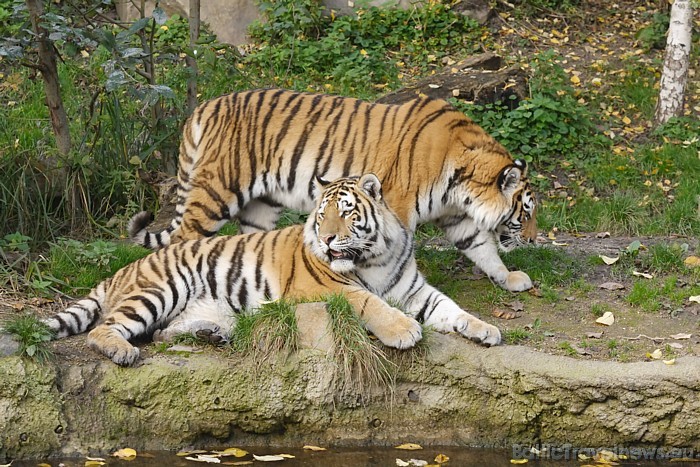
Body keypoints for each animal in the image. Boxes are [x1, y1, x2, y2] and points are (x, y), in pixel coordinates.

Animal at [45, 174, 504, 368]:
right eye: (322, 216)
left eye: (346, 213)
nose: (328, 240)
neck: (374, 256)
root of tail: (122, 271)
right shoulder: (324, 288)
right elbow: (369, 303)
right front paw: (404, 330)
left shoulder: (412, 290)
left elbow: (452, 309)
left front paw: (486, 330)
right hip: (159, 289)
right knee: (104, 329)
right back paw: (123, 351)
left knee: (162, 332)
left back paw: (212, 334)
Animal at [130, 89, 536, 290]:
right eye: (527, 211)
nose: (534, 241)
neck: (460, 182)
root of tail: (203, 108)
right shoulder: (398, 207)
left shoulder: (455, 217)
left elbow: (481, 247)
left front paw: (509, 277)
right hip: (216, 192)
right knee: (183, 237)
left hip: (261, 206)